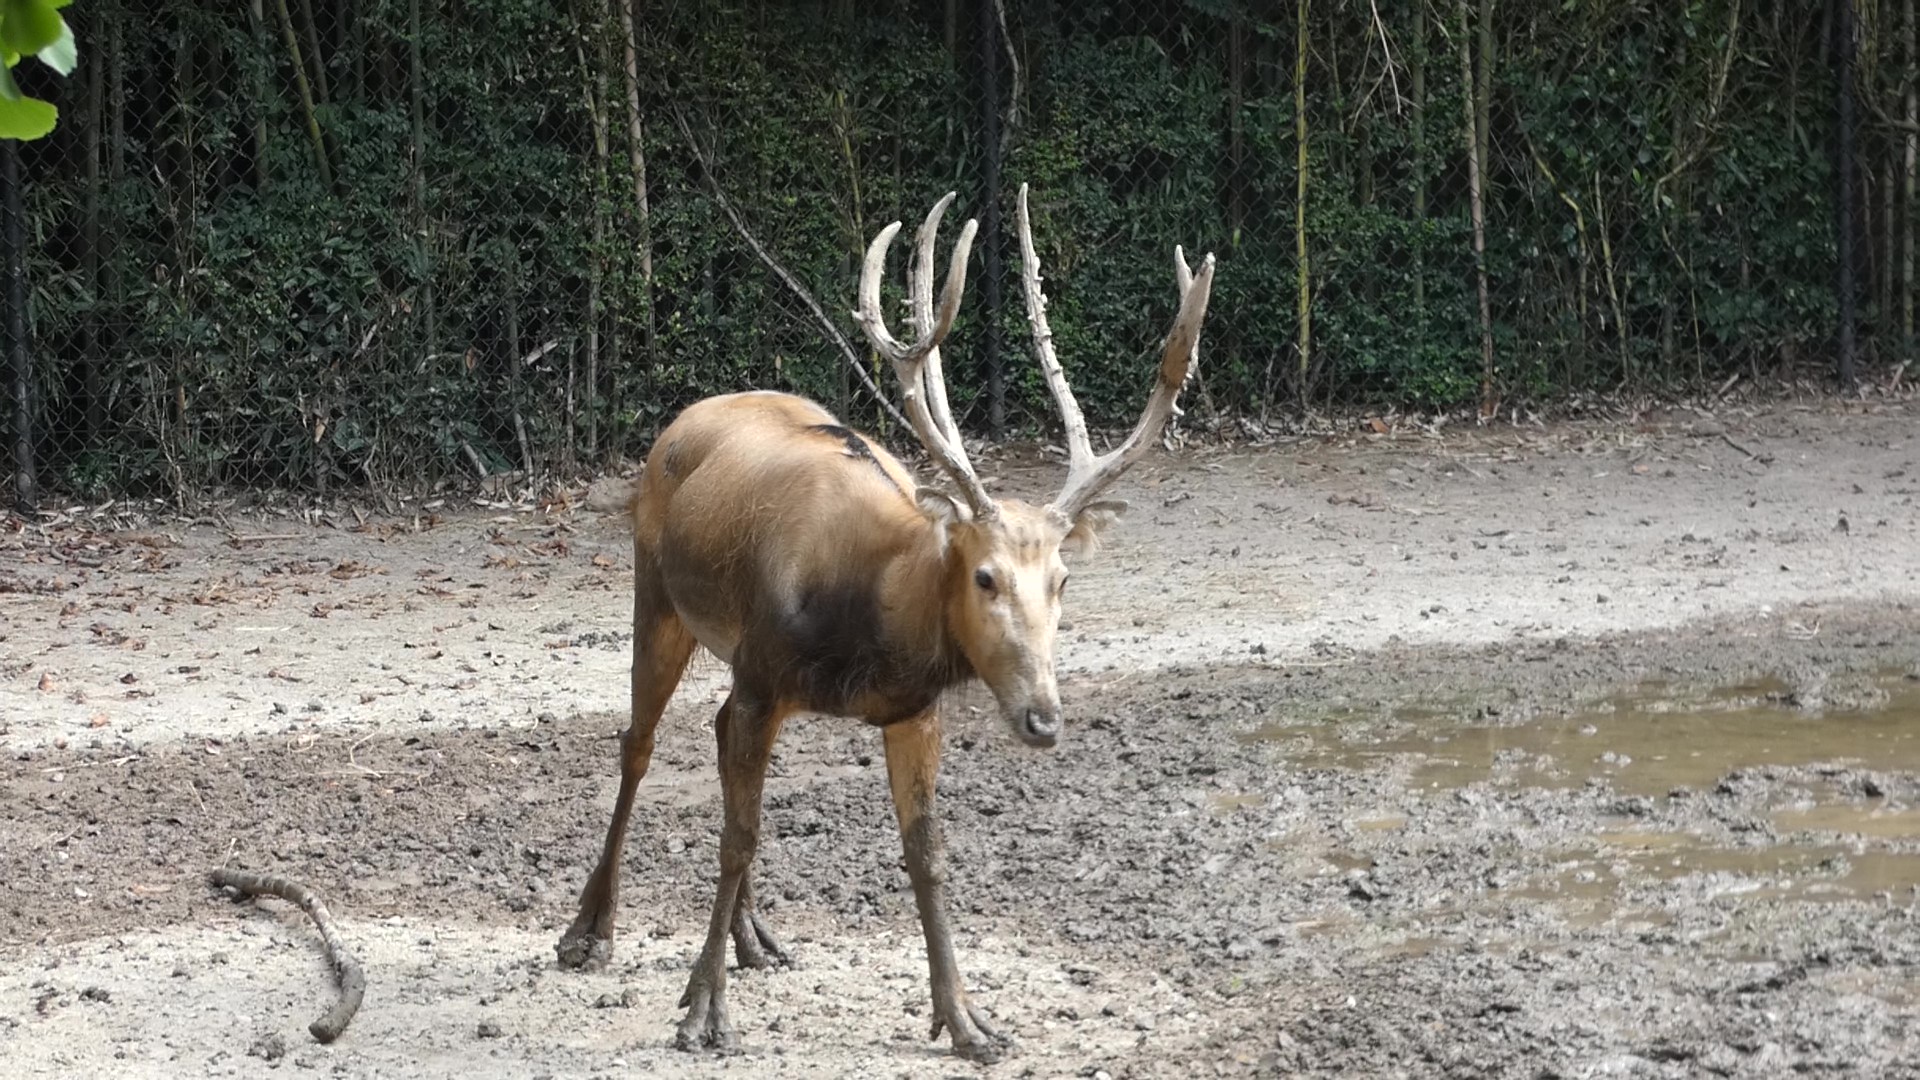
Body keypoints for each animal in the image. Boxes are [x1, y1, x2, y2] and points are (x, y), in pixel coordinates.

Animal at [553, 184, 1216, 1063]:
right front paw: (702, 1013)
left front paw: (967, 1021)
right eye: (984, 575)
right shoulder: (765, 674)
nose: (1043, 717)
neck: (870, 628)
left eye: (1064, 579)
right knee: (639, 743)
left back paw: (756, 939)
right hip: (657, 591)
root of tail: (683, 419)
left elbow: (925, 853)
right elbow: (738, 834)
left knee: (713, 732)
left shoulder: (910, 709)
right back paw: (590, 931)